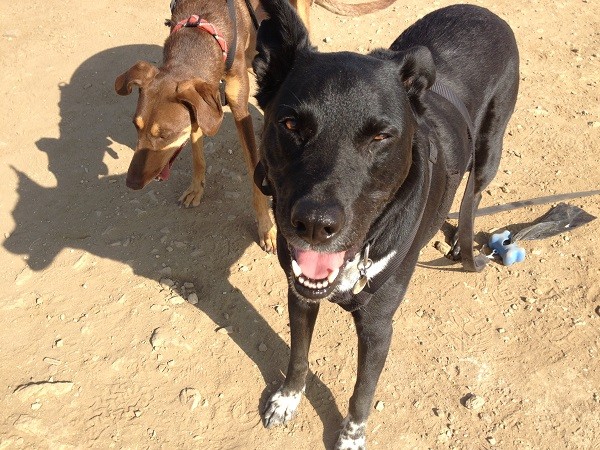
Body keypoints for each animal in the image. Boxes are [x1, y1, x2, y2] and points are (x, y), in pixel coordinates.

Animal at [115, 0, 276, 253]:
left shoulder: (240, 110)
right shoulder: (200, 109)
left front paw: (266, 227)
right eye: (136, 126)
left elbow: (254, 173)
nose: (131, 184)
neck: (202, 27)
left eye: (165, 135)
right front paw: (196, 189)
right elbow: (198, 155)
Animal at [251, 2, 516, 446]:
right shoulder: (300, 295)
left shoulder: (377, 328)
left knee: (472, 196)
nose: (314, 225)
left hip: (489, 152)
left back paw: (461, 243)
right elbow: (298, 355)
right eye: (289, 125)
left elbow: (363, 390)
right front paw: (287, 399)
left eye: (380, 137)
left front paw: (351, 437)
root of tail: (482, 11)